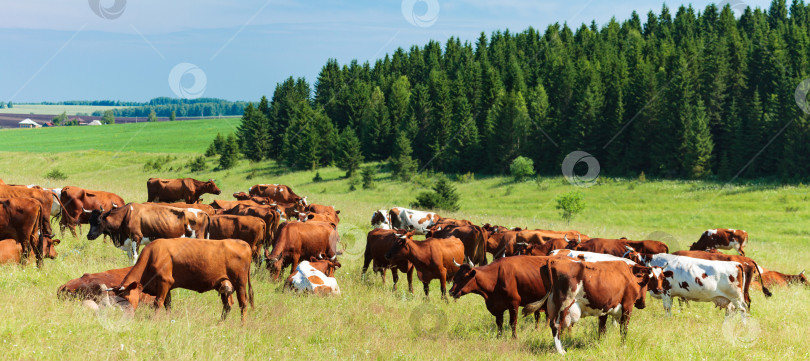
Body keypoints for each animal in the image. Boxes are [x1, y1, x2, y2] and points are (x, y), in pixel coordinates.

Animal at [111, 239, 252, 320]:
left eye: (126, 298)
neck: (153, 255)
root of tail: (244, 243)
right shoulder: (167, 286)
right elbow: (168, 305)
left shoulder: (164, 282)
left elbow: (158, 303)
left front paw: (154, 321)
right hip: (224, 285)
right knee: (228, 305)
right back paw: (219, 324)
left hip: (240, 283)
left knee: (243, 304)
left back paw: (242, 327)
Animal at [524, 258, 664, 354]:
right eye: (646, 285)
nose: (643, 304)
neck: (628, 274)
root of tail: (554, 260)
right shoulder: (627, 306)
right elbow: (624, 329)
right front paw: (623, 346)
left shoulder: (605, 308)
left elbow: (602, 329)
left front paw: (601, 344)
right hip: (564, 303)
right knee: (556, 325)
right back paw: (561, 351)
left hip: (555, 305)